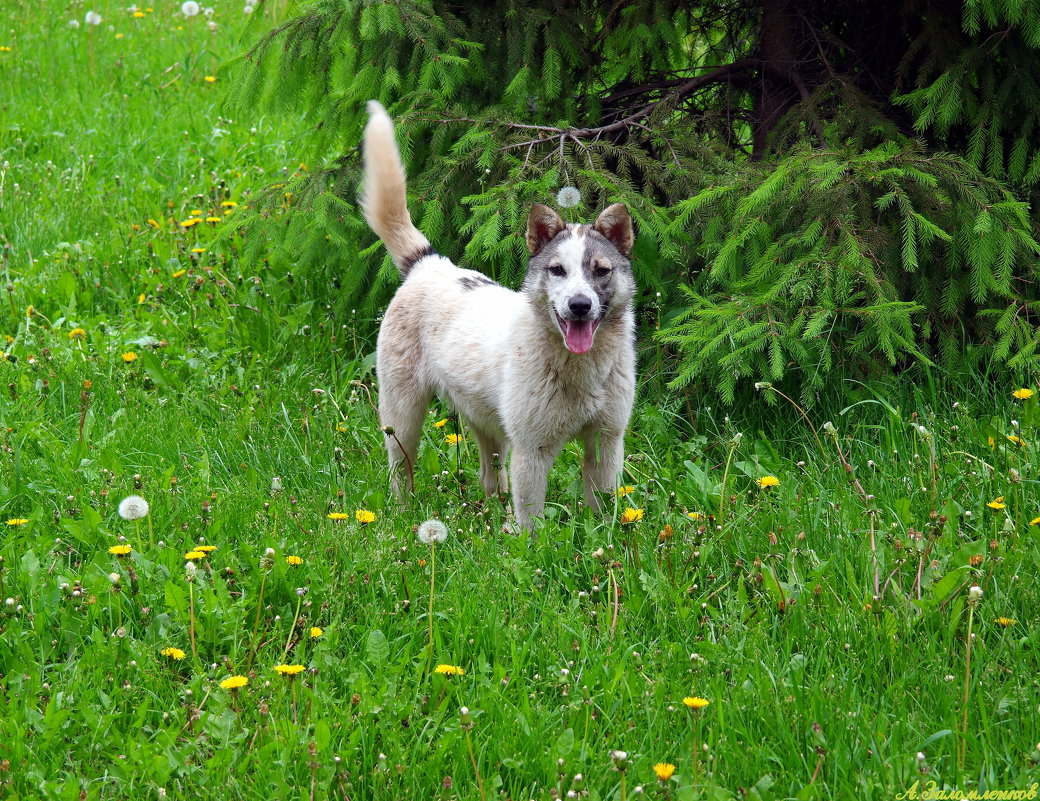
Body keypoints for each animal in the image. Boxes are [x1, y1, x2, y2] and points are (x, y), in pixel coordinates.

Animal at [361, 101, 636, 530]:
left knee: (491, 478)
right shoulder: (532, 451)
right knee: (400, 471)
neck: (580, 370)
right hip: (402, 417)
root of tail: (429, 264)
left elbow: (603, 511)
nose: (579, 305)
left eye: (601, 271)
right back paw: (403, 517)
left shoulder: (607, 442)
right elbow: (532, 524)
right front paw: (531, 546)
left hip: (489, 427)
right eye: (557, 270)